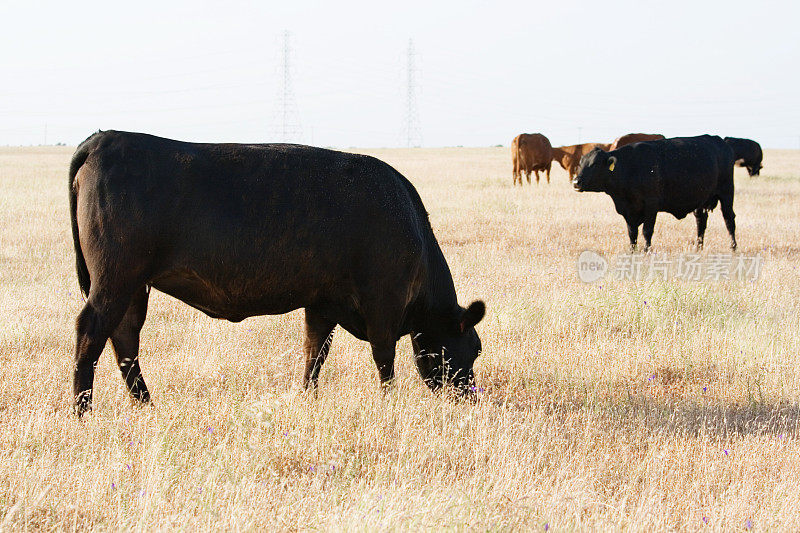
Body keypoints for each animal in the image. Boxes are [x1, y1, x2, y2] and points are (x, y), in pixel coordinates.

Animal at [69, 129, 484, 416]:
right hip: (115, 278)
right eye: (475, 348)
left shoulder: (323, 303)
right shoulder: (384, 300)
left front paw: (308, 397)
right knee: (93, 331)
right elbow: (384, 358)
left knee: (124, 337)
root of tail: (106, 138)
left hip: (132, 285)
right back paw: (82, 411)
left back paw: (145, 405)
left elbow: (315, 353)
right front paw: (390, 403)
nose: (469, 396)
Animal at [572, 136, 736, 252]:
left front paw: (646, 250)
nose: (576, 182)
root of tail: (719, 140)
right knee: (701, 222)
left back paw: (733, 247)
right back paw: (698, 248)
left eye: (594, 164)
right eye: (580, 163)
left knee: (729, 220)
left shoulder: (651, 205)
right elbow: (632, 232)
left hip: (727, 193)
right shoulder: (628, 210)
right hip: (701, 201)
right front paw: (632, 250)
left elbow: (647, 230)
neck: (630, 167)